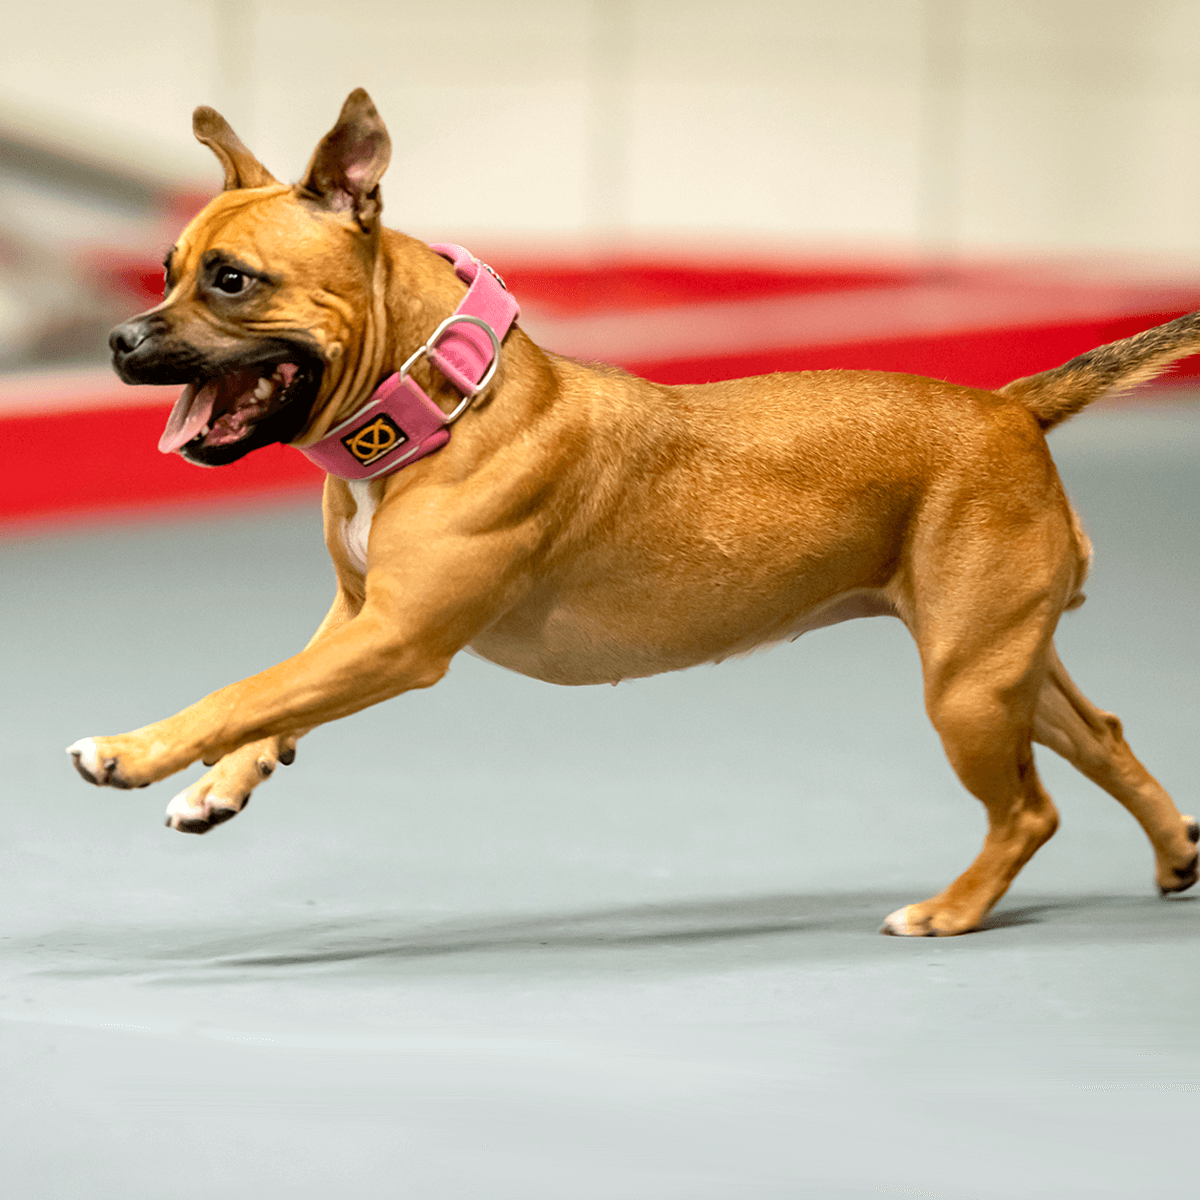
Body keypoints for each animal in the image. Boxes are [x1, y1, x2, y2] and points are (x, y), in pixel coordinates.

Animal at [68, 93, 1200, 936]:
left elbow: (242, 690)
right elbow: (274, 699)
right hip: (1004, 665)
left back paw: (952, 910)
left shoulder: (396, 640)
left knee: (1031, 811)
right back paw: (1174, 849)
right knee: (1103, 741)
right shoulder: (355, 620)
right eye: (166, 270)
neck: (437, 399)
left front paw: (133, 751)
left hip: (965, 688)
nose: (119, 340)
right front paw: (218, 784)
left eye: (232, 281)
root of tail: (1010, 406)